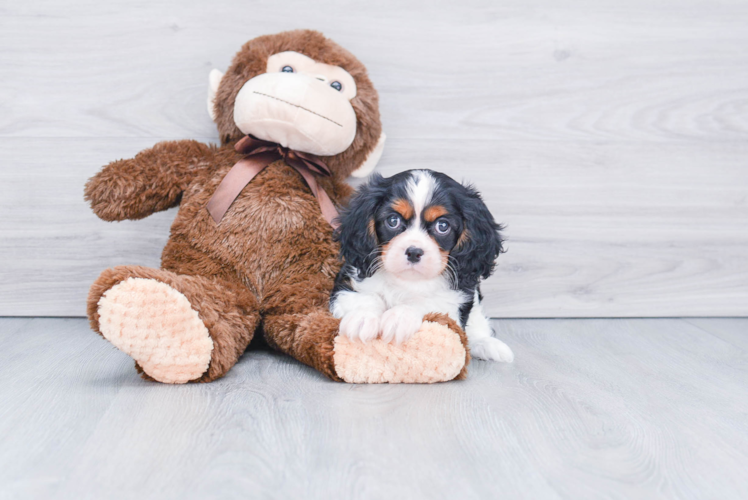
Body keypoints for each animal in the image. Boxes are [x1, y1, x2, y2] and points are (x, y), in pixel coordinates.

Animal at [332, 170, 516, 362]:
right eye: (393, 221)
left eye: (442, 226)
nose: (414, 252)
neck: (408, 281)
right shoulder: (349, 281)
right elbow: (363, 297)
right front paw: (361, 318)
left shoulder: (457, 297)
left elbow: (427, 303)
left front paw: (399, 317)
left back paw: (487, 344)